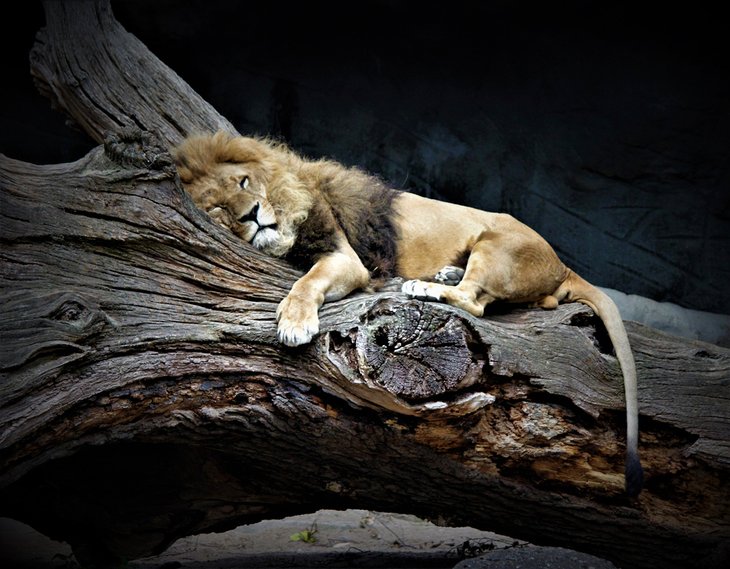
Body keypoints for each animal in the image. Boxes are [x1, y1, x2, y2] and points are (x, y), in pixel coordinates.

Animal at [173, 130, 640, 492]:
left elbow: (306, 282)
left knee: (475, 300)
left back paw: (426, 285)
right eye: (217, 208)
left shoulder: (346, 257)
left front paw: (294, 322)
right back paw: (446, 273)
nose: (253, 215)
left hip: (495, 240)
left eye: (244, 182)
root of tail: (562, 264)